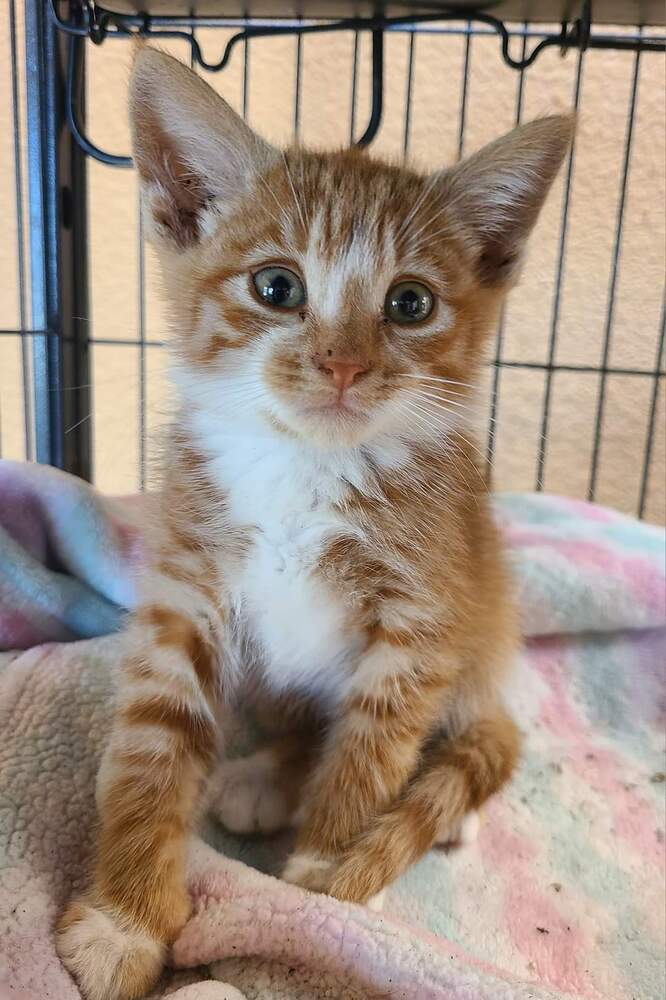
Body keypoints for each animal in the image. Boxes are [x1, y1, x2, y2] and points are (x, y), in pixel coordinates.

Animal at [55, 47, 572, 1000]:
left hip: (482, 627)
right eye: (276, 287)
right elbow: (151, 749)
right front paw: (124, 918)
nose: (341, 364)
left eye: (410, 304)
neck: (308, 469)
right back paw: (267, 774)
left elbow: (370, 750)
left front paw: (325, 885)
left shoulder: (423, 620)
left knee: (473, 737)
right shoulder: (186, 584)